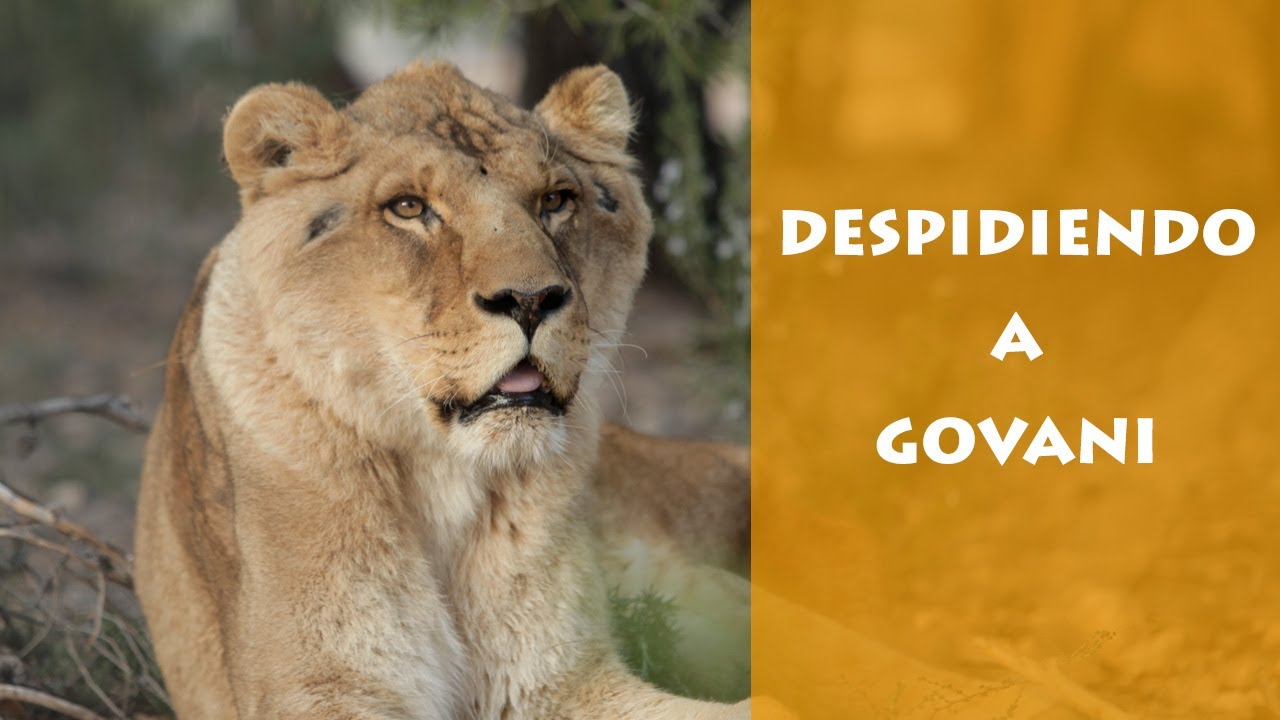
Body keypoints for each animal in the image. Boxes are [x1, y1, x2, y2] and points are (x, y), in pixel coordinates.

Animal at [133, 60, 751, 720]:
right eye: (409, 207)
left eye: (555, 201)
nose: (530, 299)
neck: (444, 478)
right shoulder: (323, 688)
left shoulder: (557, 681)